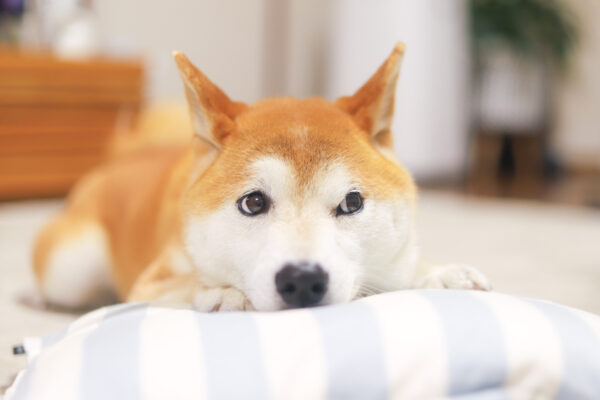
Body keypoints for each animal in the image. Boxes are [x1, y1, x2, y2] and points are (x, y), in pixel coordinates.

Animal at [32, 44, 490, 312]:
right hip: (70, 268)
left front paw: (439, 273)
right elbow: (187, 284)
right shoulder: (150, 284)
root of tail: (124, 156)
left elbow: (400, 269)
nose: (302, 280)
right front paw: (221, 292)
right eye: (253, 202)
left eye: (352, 202)